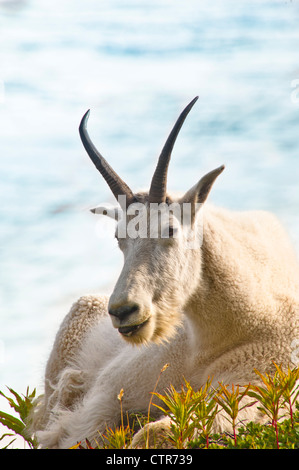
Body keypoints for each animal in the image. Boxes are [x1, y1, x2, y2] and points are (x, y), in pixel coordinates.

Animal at [31, 96, 299, 448]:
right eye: (118, 237)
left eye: (170, 229)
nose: (124, 311)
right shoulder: (109, 392)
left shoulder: (250, 388)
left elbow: (155, 431)